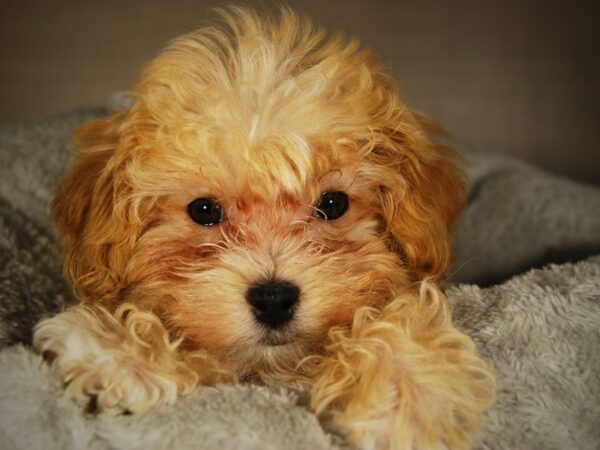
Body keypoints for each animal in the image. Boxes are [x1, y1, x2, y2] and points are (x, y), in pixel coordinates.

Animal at [32, 7, 494, 450]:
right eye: (204, 210)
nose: (274, 299)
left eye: (333, 204)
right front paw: (118, 352)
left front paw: (409, 398)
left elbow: (397, 317)